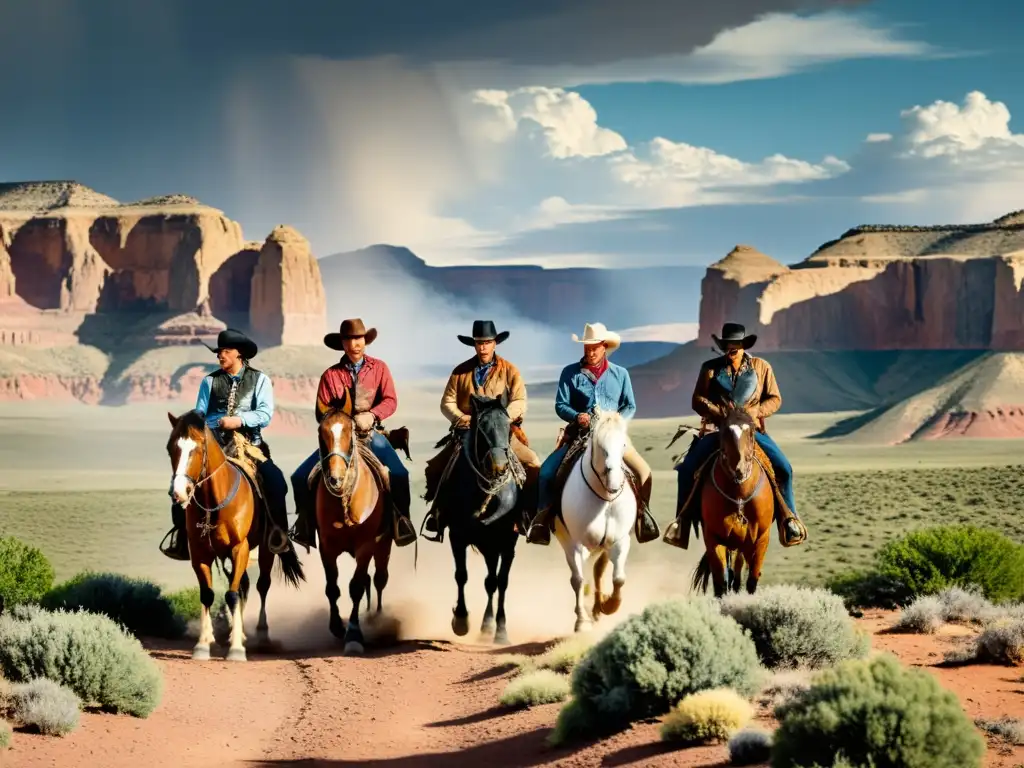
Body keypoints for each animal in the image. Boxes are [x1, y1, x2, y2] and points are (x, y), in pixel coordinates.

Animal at [164, 411, 303, 663]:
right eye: (171, 448)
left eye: (198, 448)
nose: (178, 493)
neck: (214, 502)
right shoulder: (200, 553)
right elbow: (208, 595)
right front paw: (203, 644)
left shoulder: (240, 548)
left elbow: (232, 595)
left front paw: (237, 649)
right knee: (244, 585)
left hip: (266, 549)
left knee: (262, 585)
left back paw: (261, 635)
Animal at [313, 391, 393, 655]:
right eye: (321, 432)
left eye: (349, 430)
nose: (335, 479)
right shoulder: (326, 546)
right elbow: (333, 587)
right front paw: (338, 626)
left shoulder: (366, 546)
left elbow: (356, 586)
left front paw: (354, 636)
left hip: (384, 546)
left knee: (379, 579)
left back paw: (377, 618)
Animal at [440, 393, 520, 647]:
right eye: (482, 430)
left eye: (509, 427)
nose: (499, 466)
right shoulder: (457, 536)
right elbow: (461, 575)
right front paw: (460, 621)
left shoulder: (507, 543)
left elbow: (502, 581)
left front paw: (501, 632)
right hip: (487, 547)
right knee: (488, 580)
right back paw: (484, 626)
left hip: (493, 546)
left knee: (492, 581)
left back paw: (489, 627)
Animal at [557, 405, 634, 634]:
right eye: (601, 446)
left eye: (623, 444)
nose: (615, 483)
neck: (605, 499)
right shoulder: (575, 543)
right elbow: (578, 580)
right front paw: (582, 622)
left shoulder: (620, 541)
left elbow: (619, 578)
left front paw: (610, 605)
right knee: (580, 577)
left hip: (602, 546)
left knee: (598, 571)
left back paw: (598, 608)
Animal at [688, 405, 774, 598]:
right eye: (725, 432)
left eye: (751, 433)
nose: (739, 470)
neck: (739, 496)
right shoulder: (714, 538)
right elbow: (720, 584)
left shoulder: (761, 539)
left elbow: (751, 582)